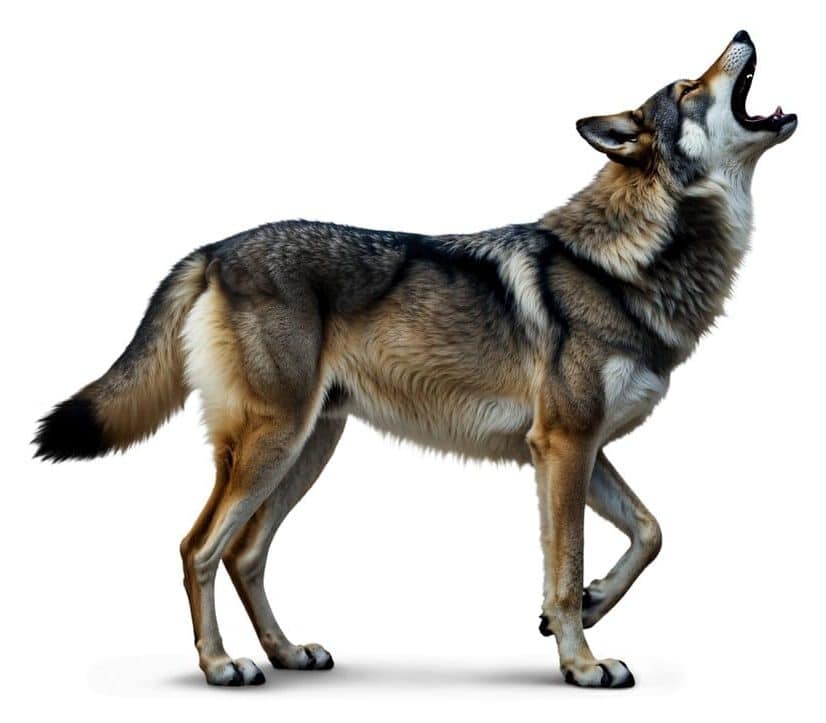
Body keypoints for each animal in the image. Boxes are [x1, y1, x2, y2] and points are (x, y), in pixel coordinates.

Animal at [34, 31, 796, 688]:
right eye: (688, 86)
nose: (742, 31)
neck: (628, 264)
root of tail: (215, 248)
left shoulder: (579, 448)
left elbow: (649, 532)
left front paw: (589, 602)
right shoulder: (563, 444)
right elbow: (566, 560)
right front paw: (583, 664)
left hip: (309, 447)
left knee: (246, 552)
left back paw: (286, 652)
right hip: (273, 444)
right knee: (199, 547)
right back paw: (222, 665)